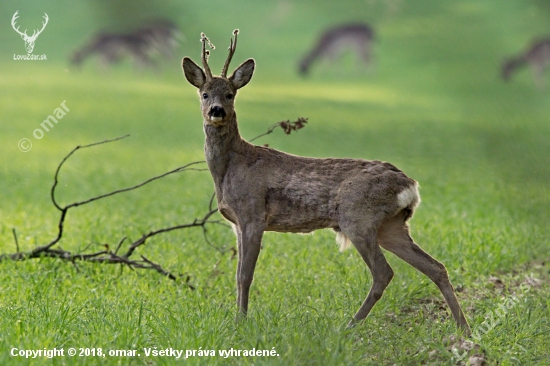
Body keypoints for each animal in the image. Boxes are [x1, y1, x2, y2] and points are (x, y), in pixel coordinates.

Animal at [180, 30, 470, 334]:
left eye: (230, 94)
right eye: (204, 93)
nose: (216, 111)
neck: (230, 168)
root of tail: (410, 185)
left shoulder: (253, 214)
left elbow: (245, 275)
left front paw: (241, 323)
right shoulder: (237, 223)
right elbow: (237, 275)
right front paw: (238, 320)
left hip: (358, 217)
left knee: (384, 272)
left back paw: (348, 326)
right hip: (391, 226)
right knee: (435, 266)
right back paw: (464, 329)